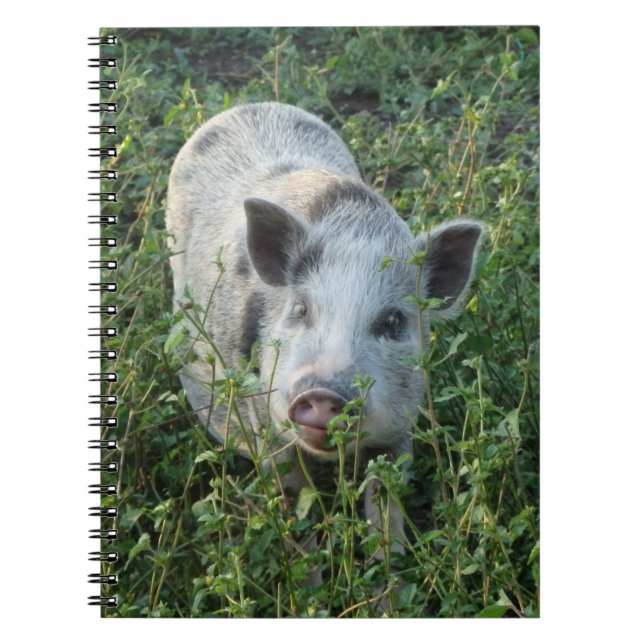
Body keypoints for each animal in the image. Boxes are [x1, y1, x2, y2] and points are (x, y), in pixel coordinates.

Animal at [166, 102, 482, 584]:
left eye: (393, 321)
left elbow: (385, 511)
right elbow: (297, 511)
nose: (322, 392)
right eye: (300, 309)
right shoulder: (266, 426)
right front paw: (311, 586)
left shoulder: (401, 427)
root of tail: (248, 106)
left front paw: (387, 585)